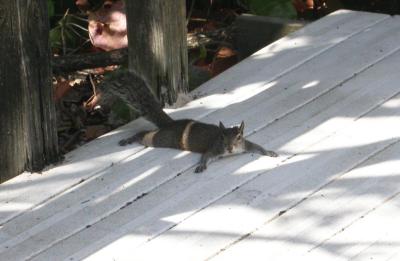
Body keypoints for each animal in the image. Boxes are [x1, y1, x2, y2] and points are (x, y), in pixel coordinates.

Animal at [98, 69, 276, 172]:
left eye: (239, 137)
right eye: (222, 138)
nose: (230, 148)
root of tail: (172, 123)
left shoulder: (246, 145)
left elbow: (257, 147)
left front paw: (269, 152)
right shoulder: (214, 149)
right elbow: (206, 156)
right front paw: (201, 166)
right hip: (162, 139)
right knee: (145, 134)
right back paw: (130, 139)